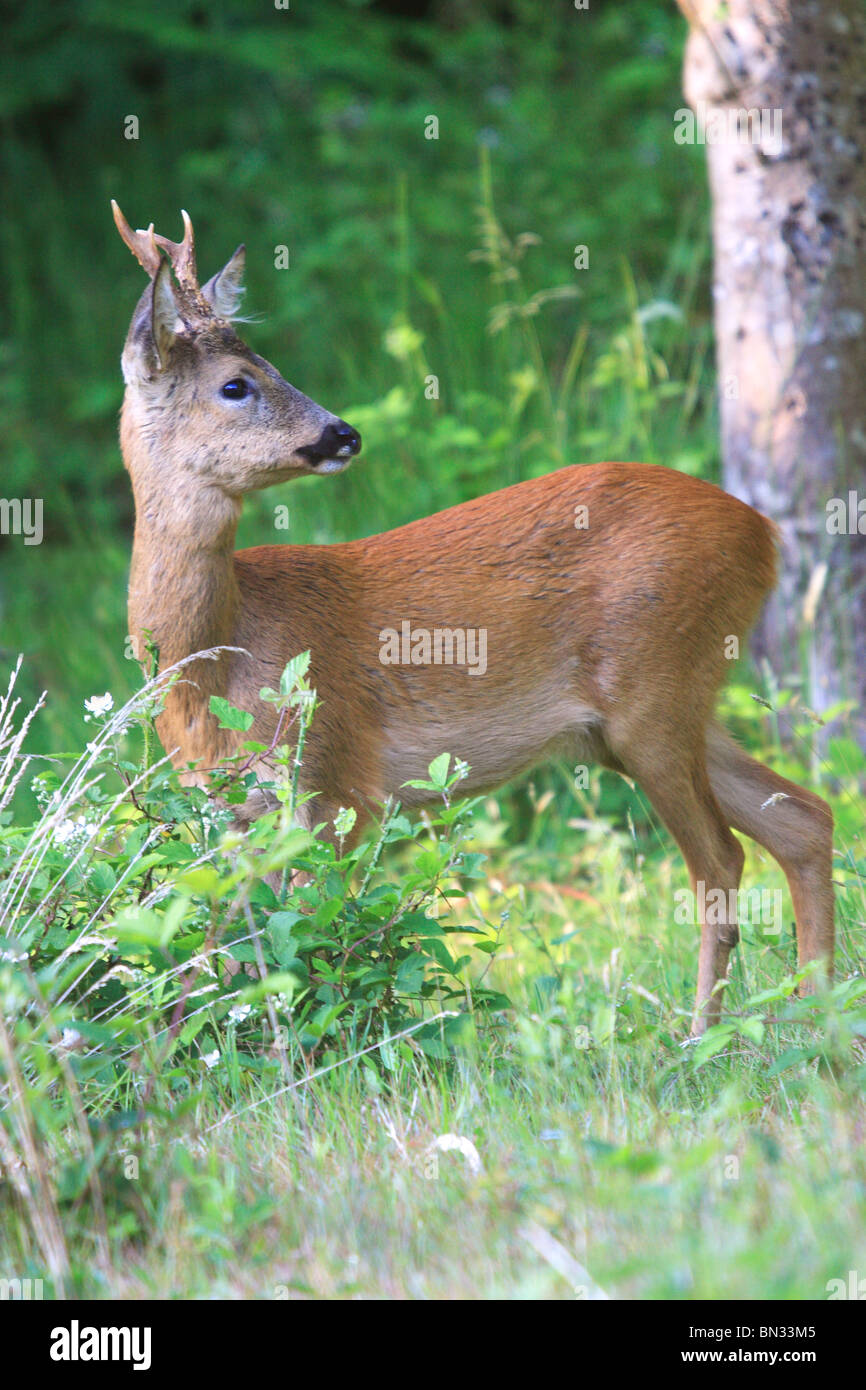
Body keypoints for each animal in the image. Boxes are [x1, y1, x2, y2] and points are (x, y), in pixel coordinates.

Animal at [113, 202, 834, 1034]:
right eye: (236, 383)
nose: (343, 433)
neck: (212, 662)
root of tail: (764, 534)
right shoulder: (229, 810)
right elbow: (235, 948)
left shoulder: (332, 775)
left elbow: (312, 942)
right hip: (662, 714)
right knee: (805, 819)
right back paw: (820, 1013)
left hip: (655, 689)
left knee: (721, 860)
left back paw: (703, 1036)